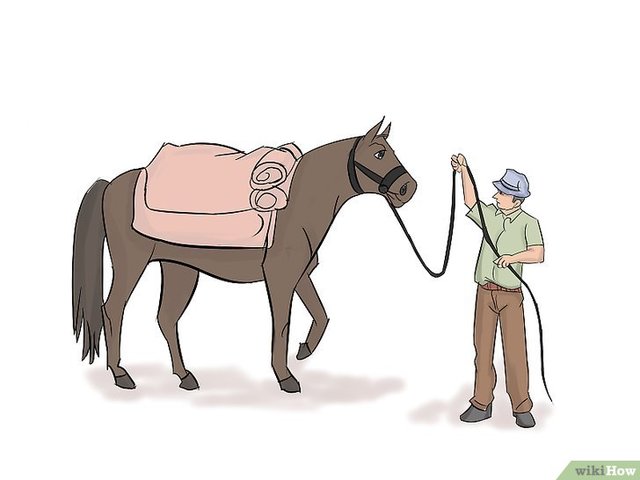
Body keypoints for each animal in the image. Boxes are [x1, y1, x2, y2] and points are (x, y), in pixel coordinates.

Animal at [72, 119, 418, 393]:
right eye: (379, 153)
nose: (408, 188)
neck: (300, 201)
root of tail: (112, 184)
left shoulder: (300, 275)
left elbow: (321, 315)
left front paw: (305, 350)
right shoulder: (280, 278)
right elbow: (282, 324)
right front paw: (285, 377)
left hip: (179, 268)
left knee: (166, 317)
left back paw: (184, 377)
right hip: (132, 264)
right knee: (113, 310)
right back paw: (121, 375)